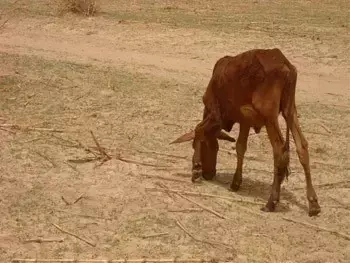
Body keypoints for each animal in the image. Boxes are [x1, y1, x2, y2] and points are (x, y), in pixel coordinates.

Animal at [171, 48, 322, 218]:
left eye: (208, 148)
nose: (209, 174)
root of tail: (285, 65)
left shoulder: (216, 115)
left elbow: (198, 130)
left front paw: (196, 169)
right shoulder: (245, 120)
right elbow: (240, 147)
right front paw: (236, 182)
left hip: (270, 117)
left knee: (280, 152)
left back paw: (271, 202)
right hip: (290, 111)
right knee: (302, 147)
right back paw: (313, 204)